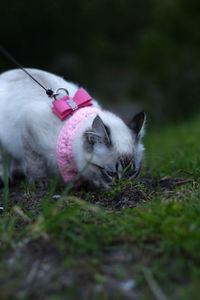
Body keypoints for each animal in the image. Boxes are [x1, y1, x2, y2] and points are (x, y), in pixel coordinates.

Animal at [0, 69, 145, 189]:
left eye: (132, 173)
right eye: (111, 173)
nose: (122, 186)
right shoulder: (29, 127)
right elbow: (35, 162)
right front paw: (39, 182)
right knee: (6, 158)